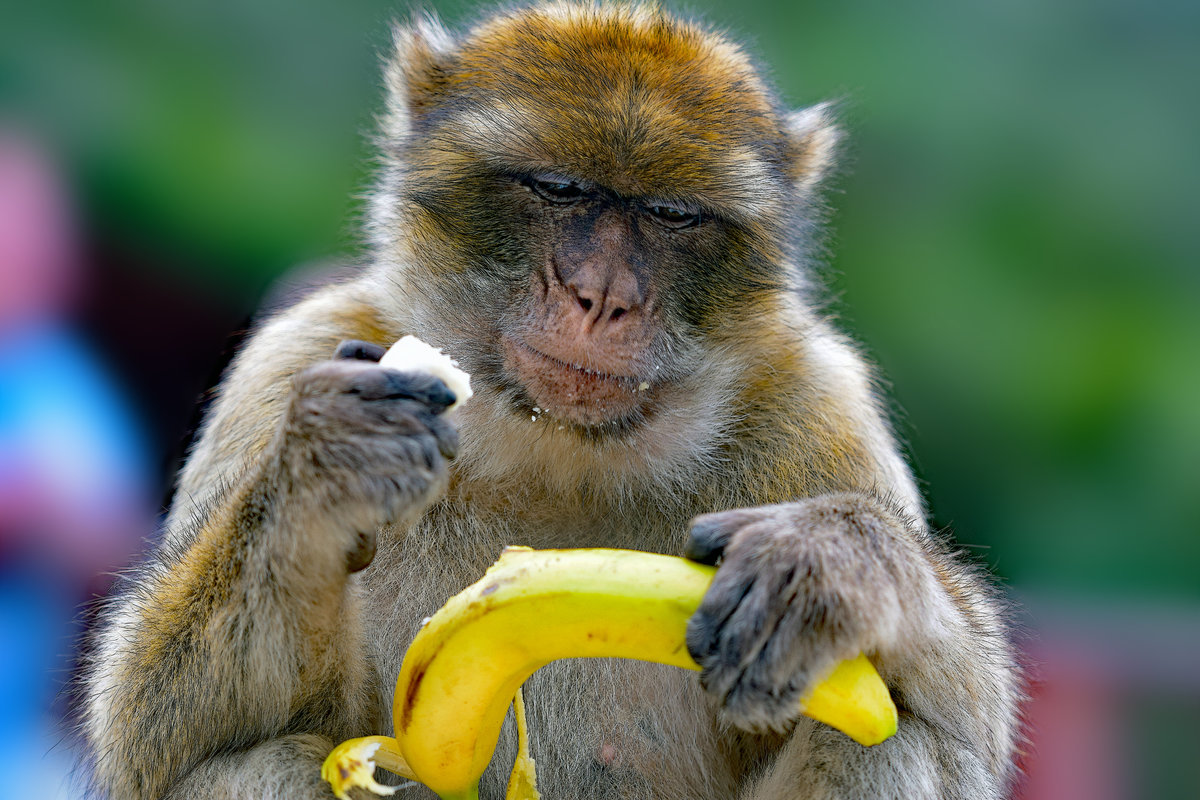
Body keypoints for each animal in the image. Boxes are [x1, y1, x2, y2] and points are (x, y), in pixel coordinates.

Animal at [82, 3, 1022, 796]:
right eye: (561, 190)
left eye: (671, 214)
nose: (601, 297)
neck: (558, 452)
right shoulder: (294, 355)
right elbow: (153, 732)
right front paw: (324, 470)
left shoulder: (820, 407)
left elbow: (968, 728)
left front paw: (833, 562)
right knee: (265, 760)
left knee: (877, 741)